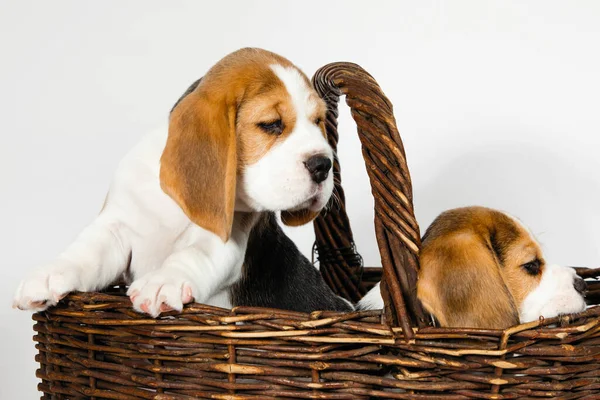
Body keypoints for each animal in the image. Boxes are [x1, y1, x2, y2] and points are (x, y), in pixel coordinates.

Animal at [15, 47, 352, 316]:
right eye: (271, 124)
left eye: (318, 121)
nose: (324, 165)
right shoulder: (117, 227)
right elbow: (88, 251)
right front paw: (50, 274)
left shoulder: (225, 239)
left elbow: (193, 254)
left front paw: (163, 282)